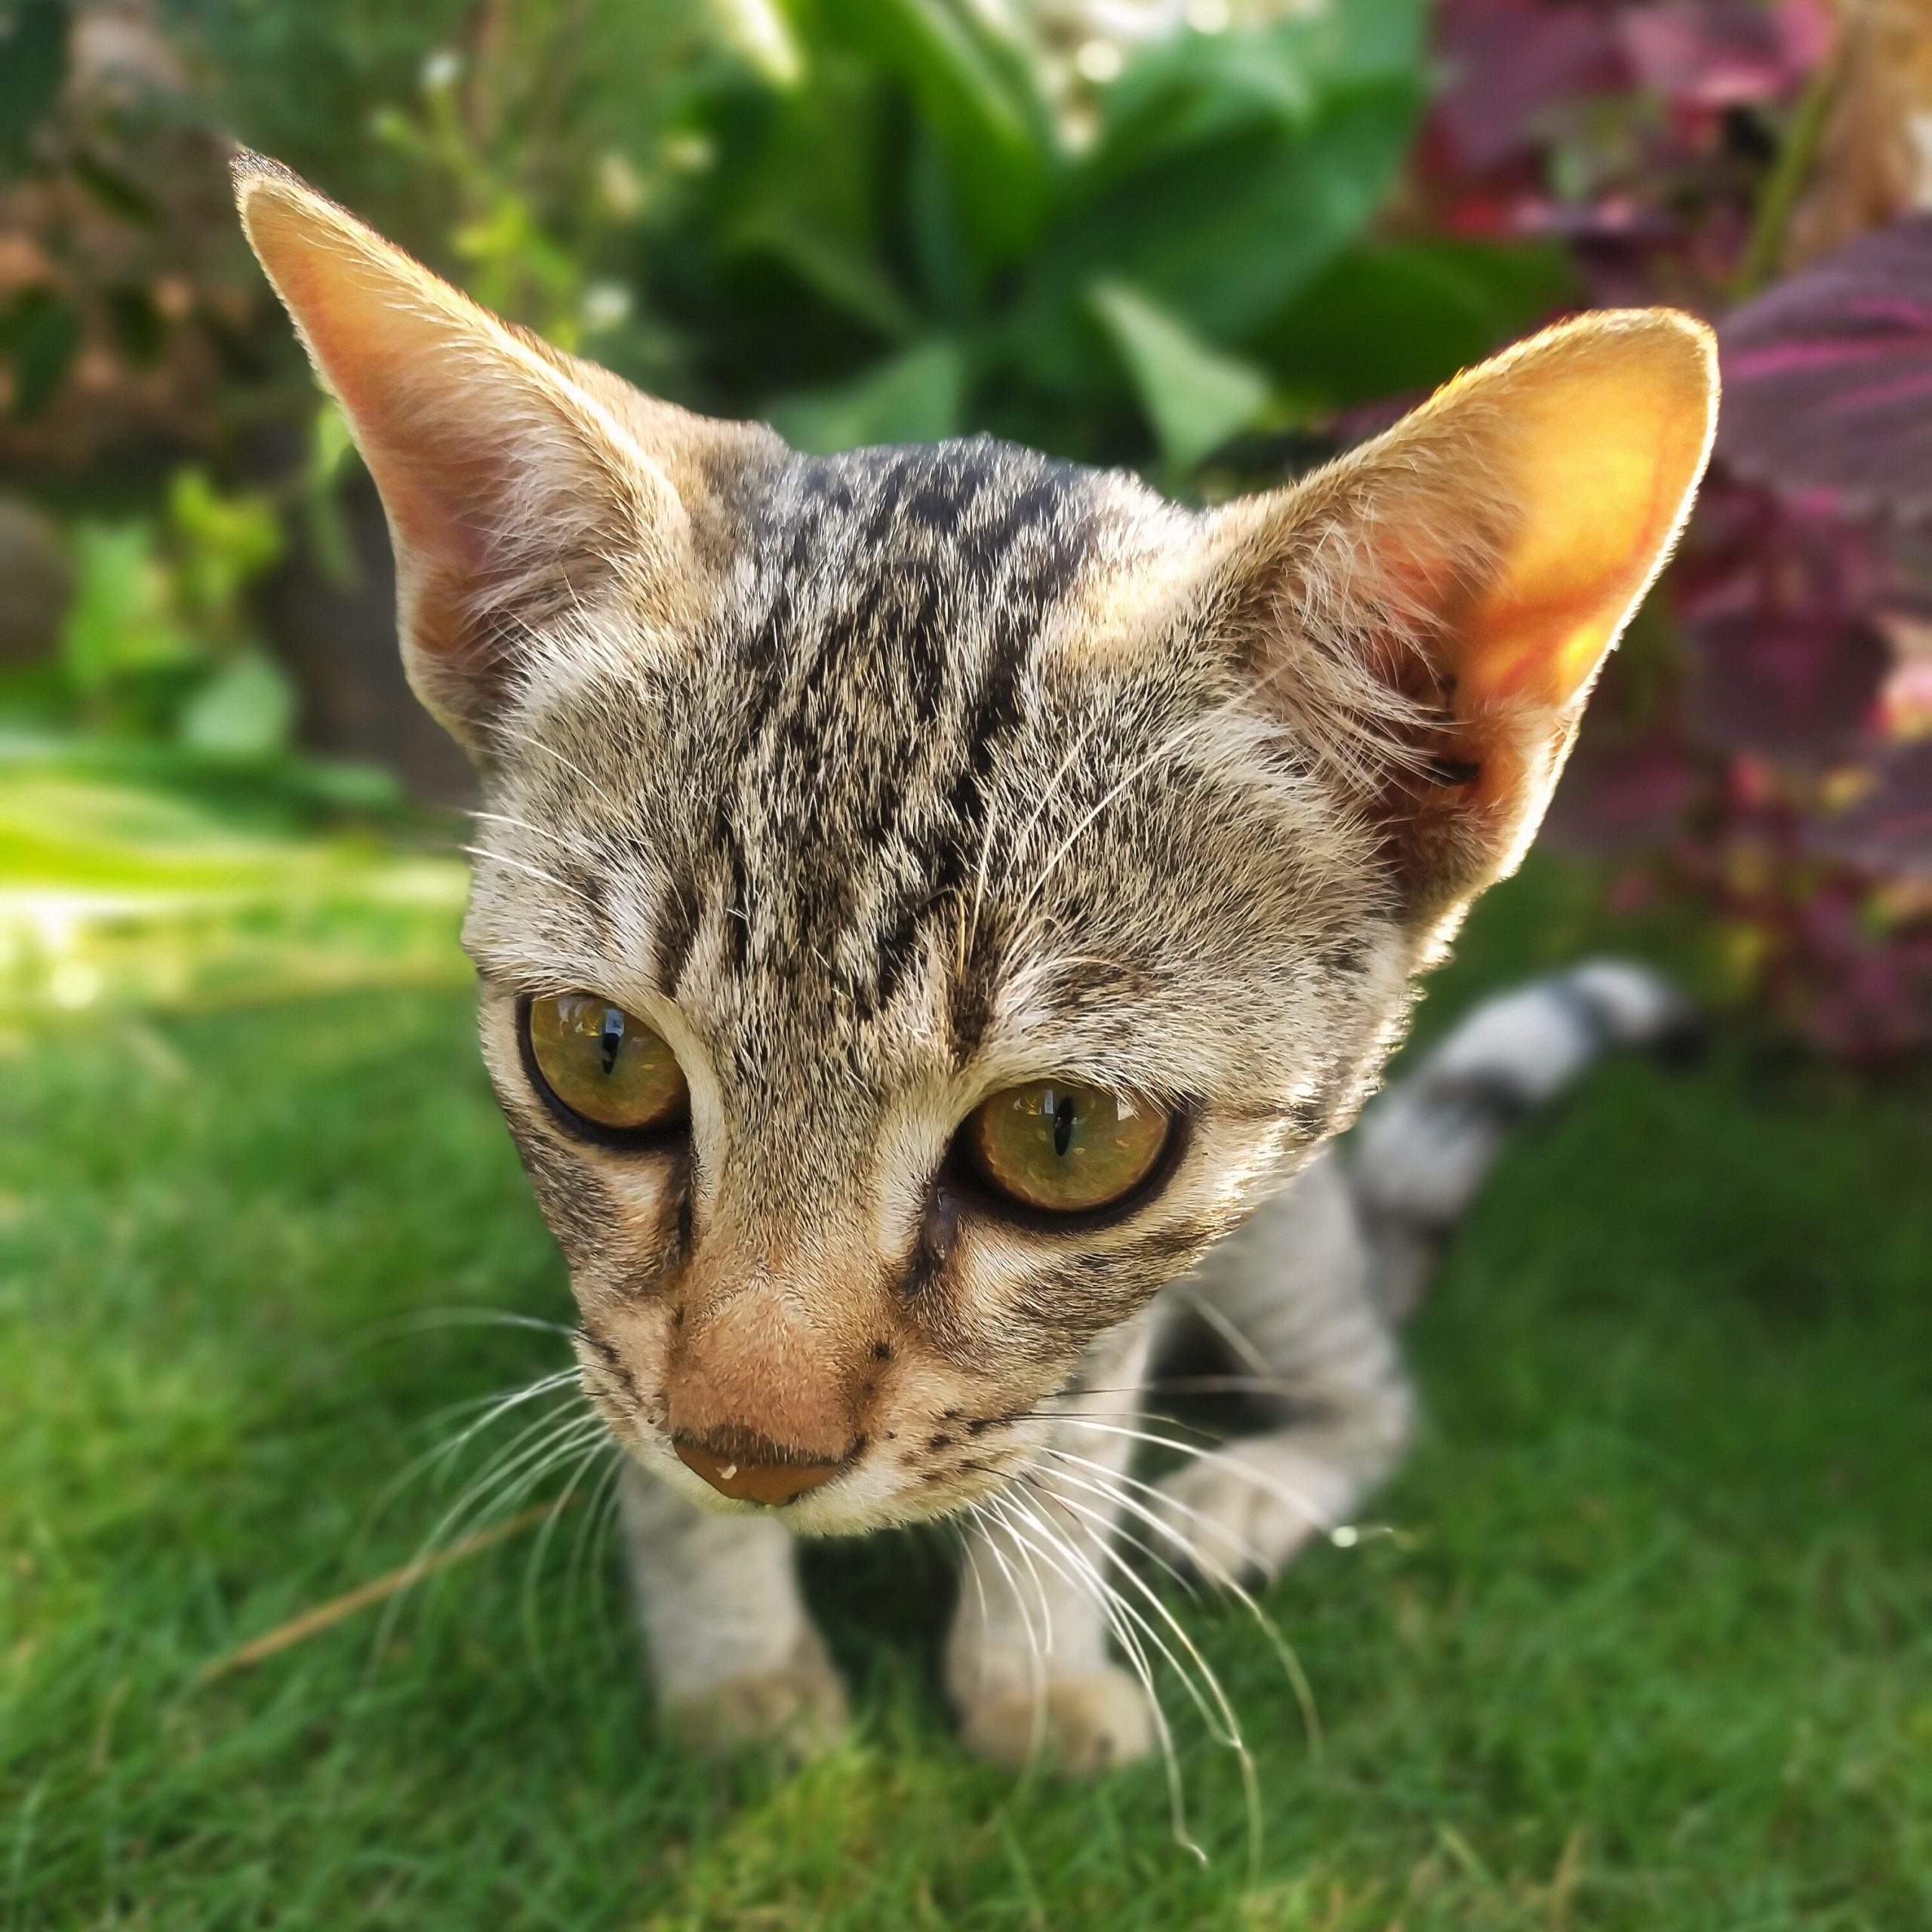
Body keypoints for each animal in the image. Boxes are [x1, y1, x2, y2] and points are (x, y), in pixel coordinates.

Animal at [233, 158, 1715, 1769]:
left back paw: (1249, 1490)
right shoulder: (609, 1317)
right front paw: (736, 1655)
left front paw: (1031, 1666)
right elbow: (627, 1381)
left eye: (1065, 1136)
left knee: (1375, 1389)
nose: (749, 1455)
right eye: (599, 1054)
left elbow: (1074, 1431)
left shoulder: (1123, 1299)